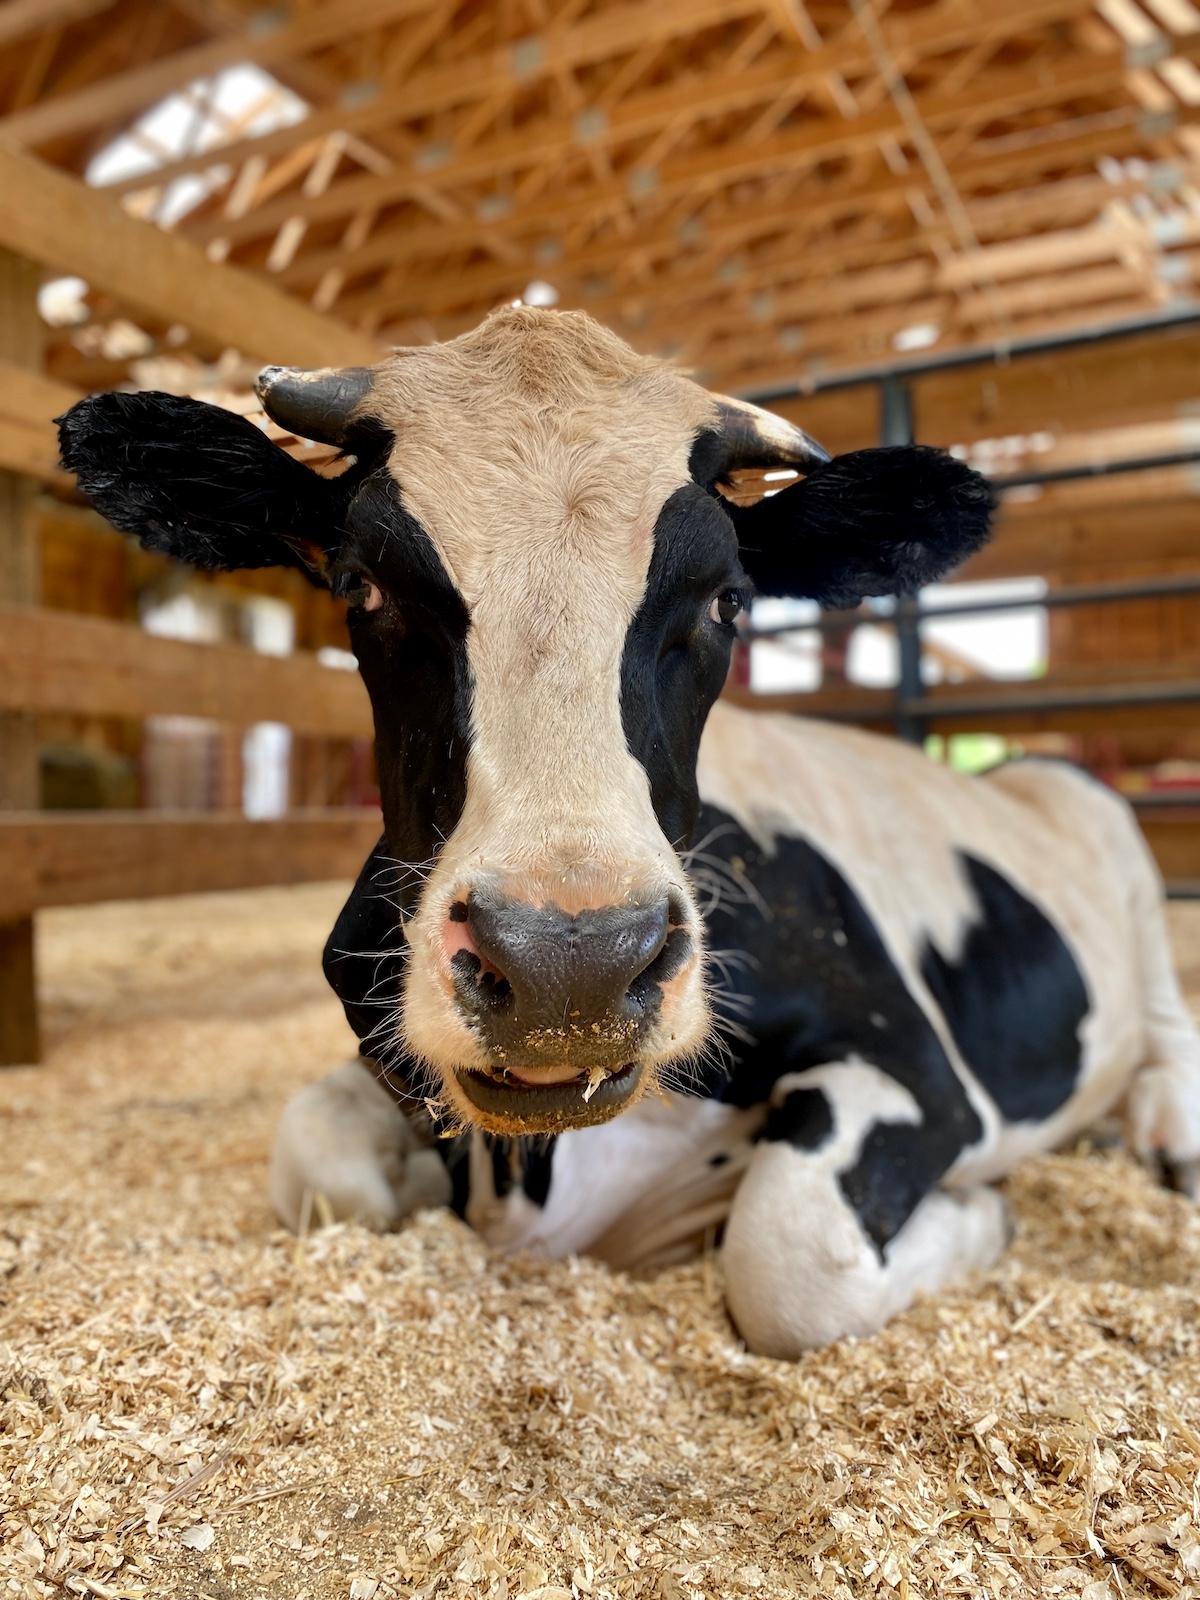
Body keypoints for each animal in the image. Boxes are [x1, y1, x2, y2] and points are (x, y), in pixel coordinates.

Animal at [61, 305, 1200, 1356]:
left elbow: (789, 1264)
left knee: (1165, 1025)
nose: (571, 966)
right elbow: (324, 1169)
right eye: (360, 583)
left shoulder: (909, 1058)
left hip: (1121, 859)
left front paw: (980, 1214)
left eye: (729, 599)